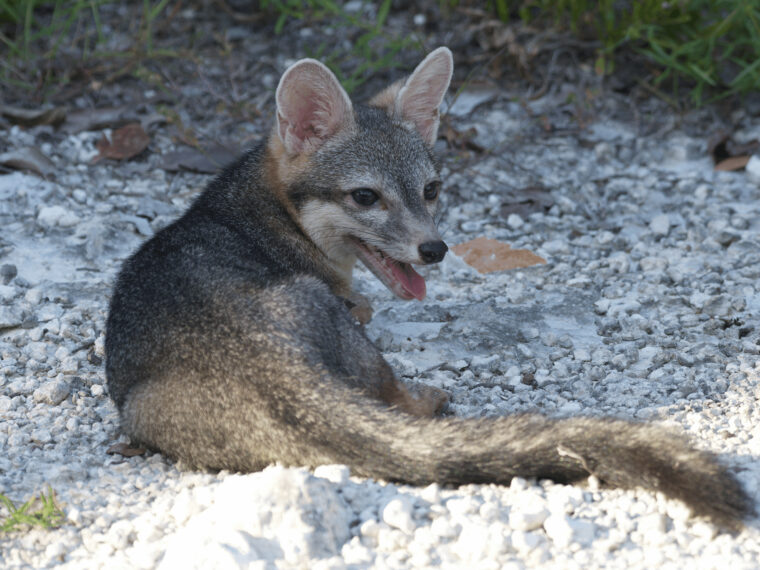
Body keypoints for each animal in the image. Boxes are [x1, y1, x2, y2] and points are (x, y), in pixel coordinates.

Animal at [105, 47, 752, 530]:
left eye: (432, 190)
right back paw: (429, 398)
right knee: (393, 394)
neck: (259, 213)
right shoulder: (352, 307)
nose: (434, 249)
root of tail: (268, 365)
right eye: (365, 197)